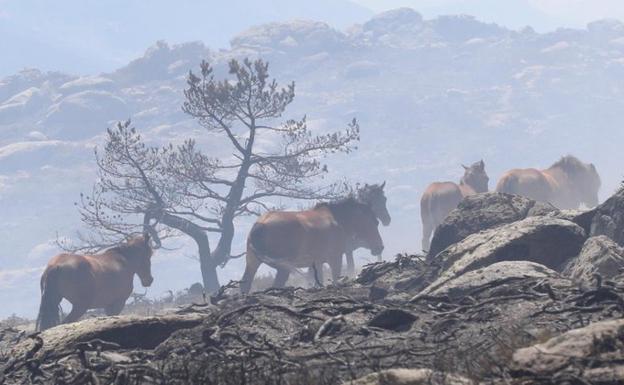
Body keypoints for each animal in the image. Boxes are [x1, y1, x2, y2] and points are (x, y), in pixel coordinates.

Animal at [240, 196, 382, 292]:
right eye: (375, 222)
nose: (380, 247)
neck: (337, 220)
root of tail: (260, 224)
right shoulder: (335, 258)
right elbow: (335, 279)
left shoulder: (317, 263)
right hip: (283, 267)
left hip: (252, 262)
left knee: (245, 285)